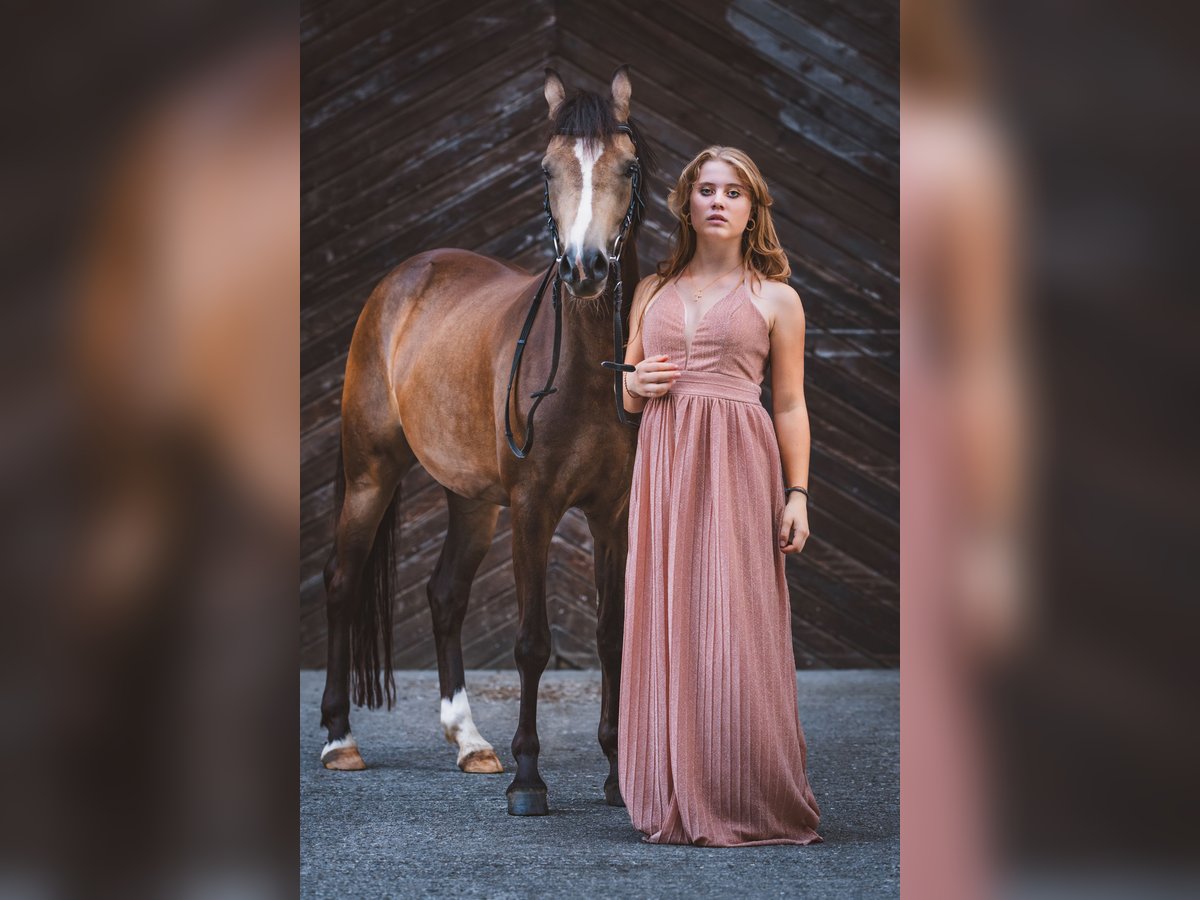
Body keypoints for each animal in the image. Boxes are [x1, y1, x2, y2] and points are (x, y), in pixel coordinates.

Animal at [316, 68, 657, 816]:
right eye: (547, 169)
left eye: (628, 166)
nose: (585, 269)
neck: (582, 366)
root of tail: (407, 276)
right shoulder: (533, 509)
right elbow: (531, 643)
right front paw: (529, 780)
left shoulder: (613, 514)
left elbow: (612, 637)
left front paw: (618, 777)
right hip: (371, 476)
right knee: (342, 583)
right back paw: (338, 739)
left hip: (471, 501)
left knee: (445, 594)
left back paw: (470, 741)